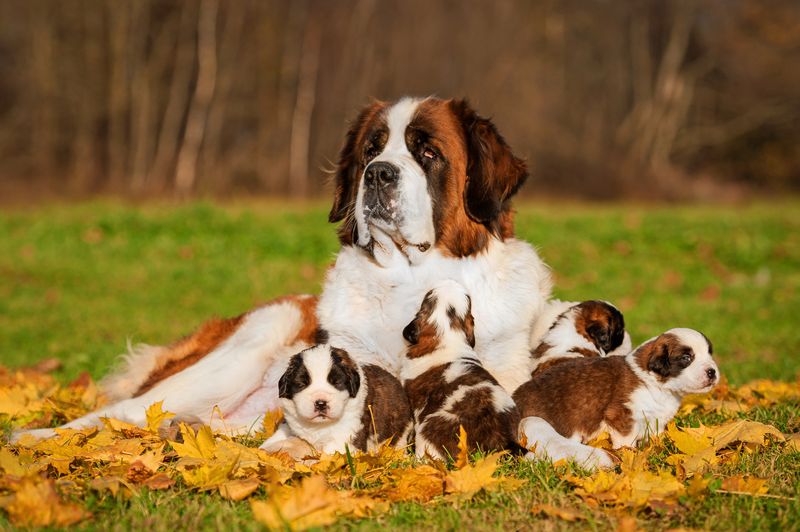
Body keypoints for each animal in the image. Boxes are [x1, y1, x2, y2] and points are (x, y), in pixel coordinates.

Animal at [260, 344, 412, 458]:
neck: (319, 426)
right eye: (302, 384)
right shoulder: (291, 424)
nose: (320, 403)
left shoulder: (346, 437)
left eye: (336, 382)